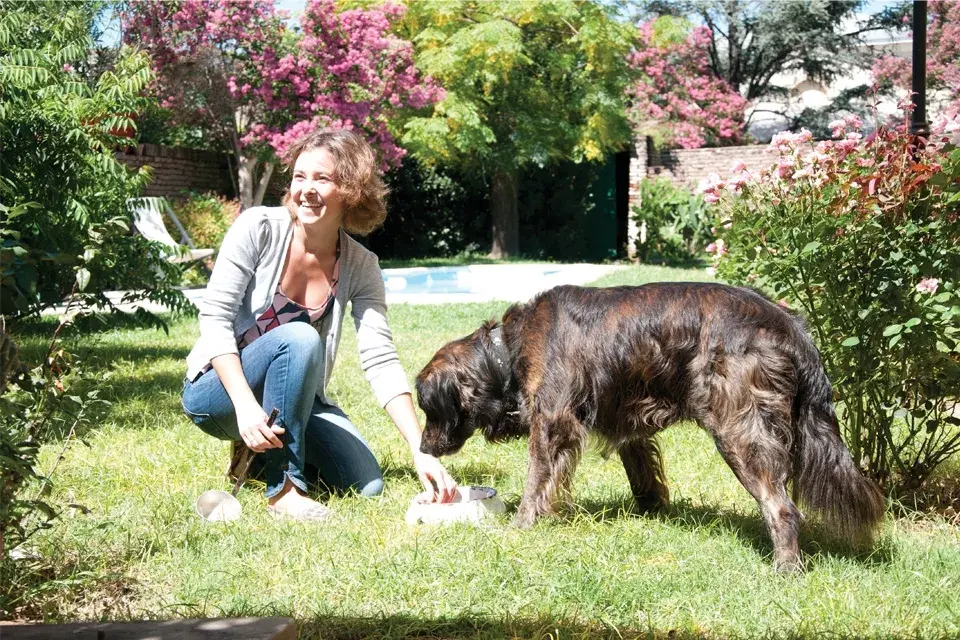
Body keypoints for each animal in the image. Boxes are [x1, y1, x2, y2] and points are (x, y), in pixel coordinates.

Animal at [416, 284, 880, 568]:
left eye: (429, 410)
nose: (423, 449)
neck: (507, 351)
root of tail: (792, 326)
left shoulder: (552, 422)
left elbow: (537, 480)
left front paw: (521, 526)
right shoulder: (629, 423)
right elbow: (643, 472)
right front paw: (652, 511)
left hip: (739, 431)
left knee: (781, 507)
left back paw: (786, 567)